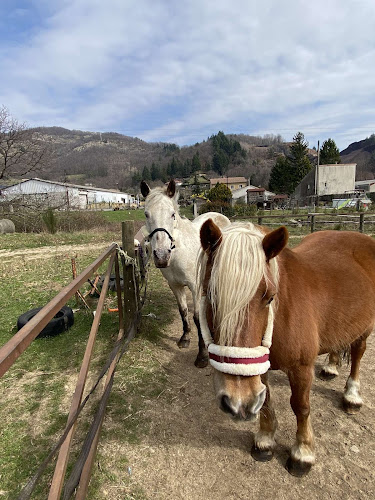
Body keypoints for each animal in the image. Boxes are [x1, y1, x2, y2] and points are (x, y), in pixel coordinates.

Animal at [140, 180, 231, 368]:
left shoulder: (195, 287)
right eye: (146, 214)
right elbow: (183, 311)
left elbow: (197, 318)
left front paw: (202, 356)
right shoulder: (175, 286)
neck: (178, 253)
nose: (161, 256)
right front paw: (185, 339)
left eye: (172, 214)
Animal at [198, 221, 375, 474]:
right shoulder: (259, 366)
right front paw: (265, 440)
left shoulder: (301, 368)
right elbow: (265, 401)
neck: (281, 316)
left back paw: (352, 396)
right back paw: (331, 367)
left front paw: (303, 452)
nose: (238, 402)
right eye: (210, 294)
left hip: (365, 328)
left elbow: (301, 407)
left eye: (270, 298)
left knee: (358, 353)